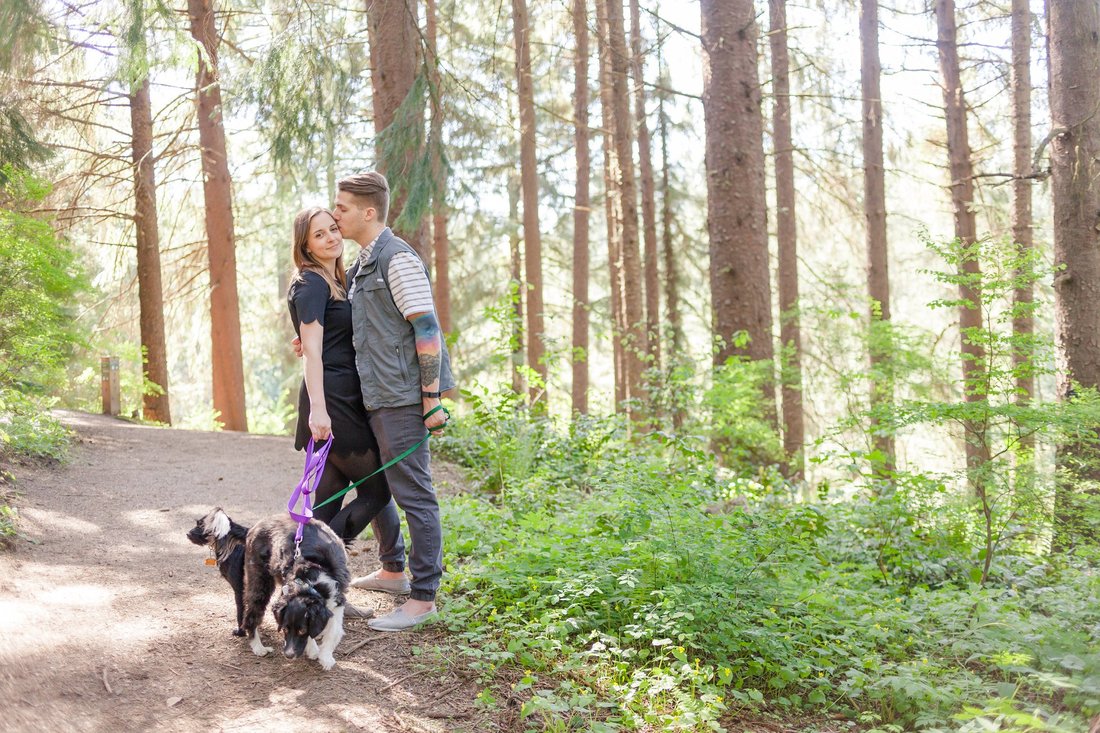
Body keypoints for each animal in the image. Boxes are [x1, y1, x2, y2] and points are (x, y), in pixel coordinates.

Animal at [184, 508, 347, 669]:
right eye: (285, 629)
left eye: (302, 630)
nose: (288, 655)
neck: (313, 574)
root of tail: (255, 526)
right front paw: (316, 651)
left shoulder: (337, 599)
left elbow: (333, 631)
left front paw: (324, 656)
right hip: (259, 582)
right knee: (250, 616)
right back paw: (258, 647)